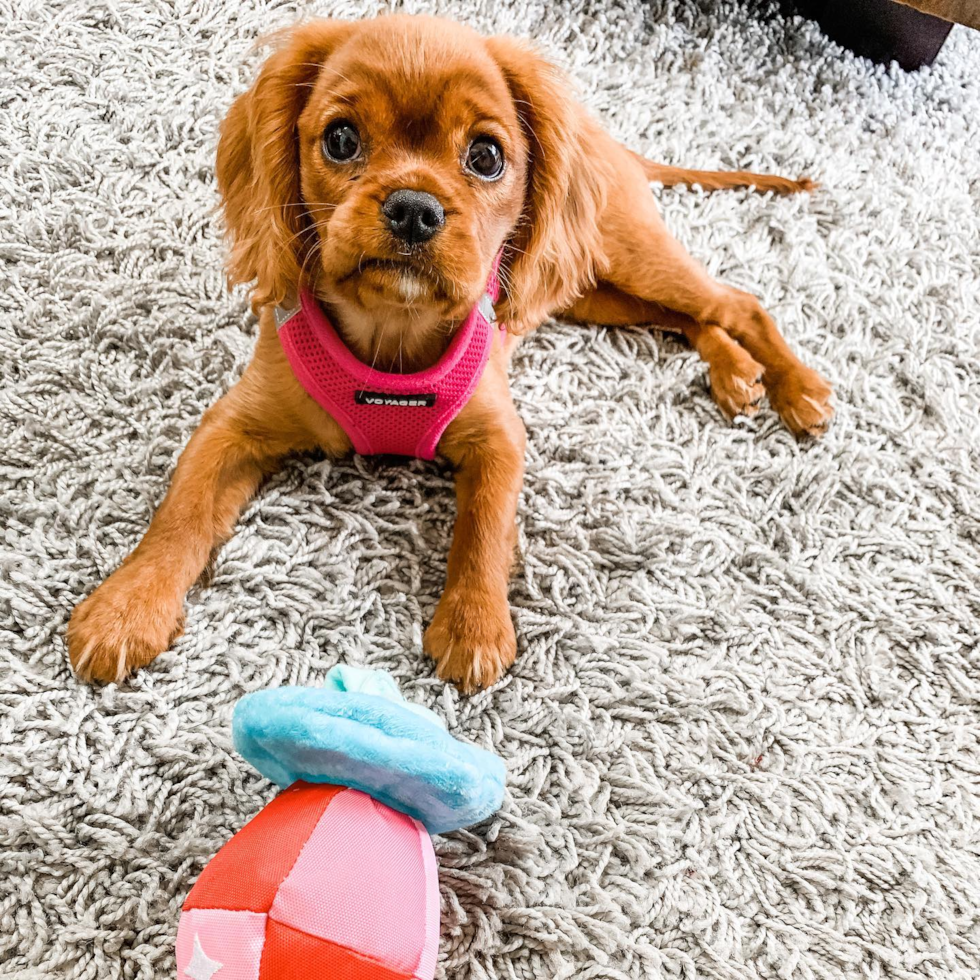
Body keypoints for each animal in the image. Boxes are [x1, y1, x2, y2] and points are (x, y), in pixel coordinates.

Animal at [69, 13, 836, 688]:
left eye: (486, 157)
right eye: (340, 140)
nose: (414, 207)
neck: (392, 333)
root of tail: (606, 138)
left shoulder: (499, 435)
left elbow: (485, 527)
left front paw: (474, 626)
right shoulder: (235, 425)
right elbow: (181, 511)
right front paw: (126, 608)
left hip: (622, 256)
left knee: (734, 301)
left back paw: (798, 390)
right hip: (590, 289)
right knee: (688, 320)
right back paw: (735, 372)